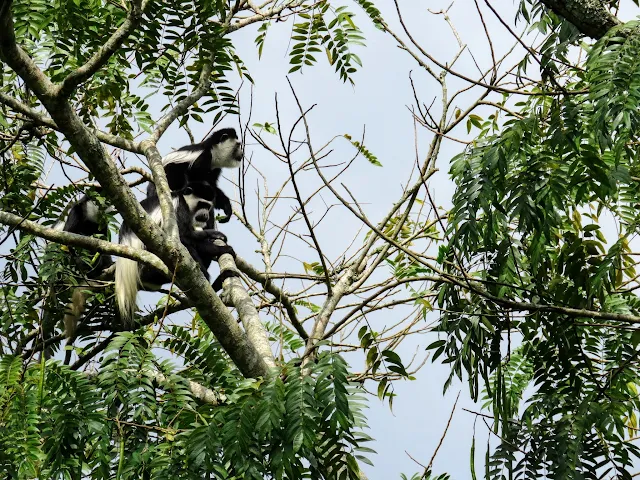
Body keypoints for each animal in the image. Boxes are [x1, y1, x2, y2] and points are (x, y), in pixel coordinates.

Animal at [115, 178, 238, 324]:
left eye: (208, 206)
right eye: (201, 204)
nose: (205, 215)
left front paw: (213, 235)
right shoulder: (178, 208)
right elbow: (183, 237)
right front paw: (222, 248)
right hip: (149, 266)